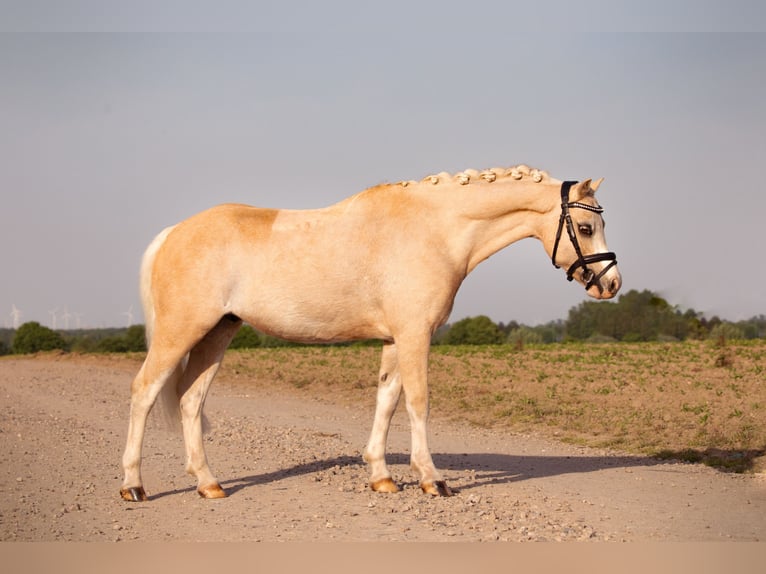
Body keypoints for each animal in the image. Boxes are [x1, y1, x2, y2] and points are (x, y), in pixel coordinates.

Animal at [120, 164, 621, 502]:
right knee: (145, 391)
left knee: (190, 399)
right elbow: (418, 401)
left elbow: (387, 399)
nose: (611, 284)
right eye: (584, 226)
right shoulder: (415, 334)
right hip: (181, 331)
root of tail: (173, 233)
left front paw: (381, 476)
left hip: (217, 333)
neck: (434, 231)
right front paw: (432, 479)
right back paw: (133, 485)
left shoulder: (395, 339)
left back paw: (209, 484)